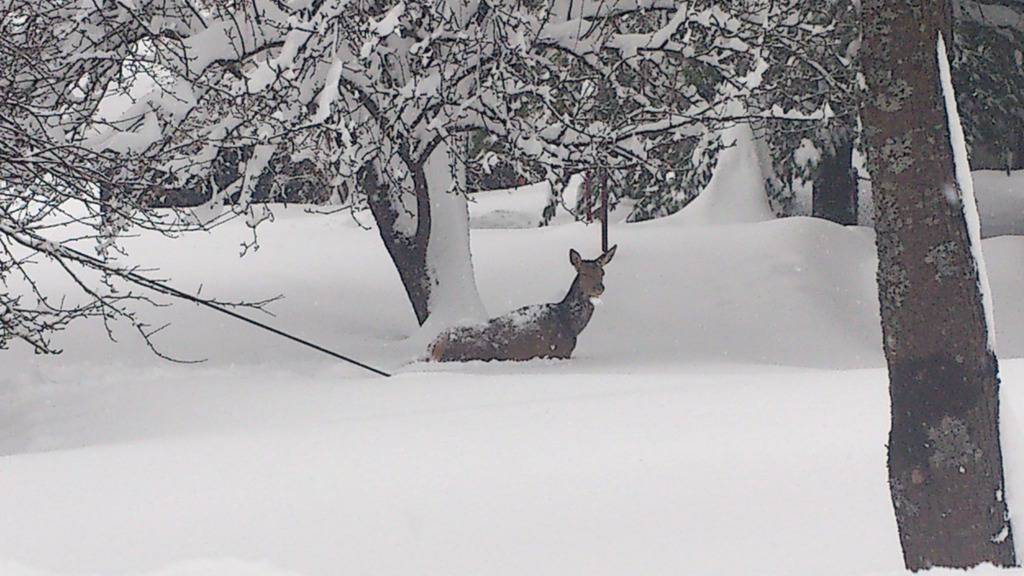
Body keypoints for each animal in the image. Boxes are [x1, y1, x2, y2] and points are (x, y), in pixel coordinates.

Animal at [430, 243, 614, 360]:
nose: (600, 288)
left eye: (602, 272)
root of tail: (433, 346)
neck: (571, 325)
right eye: (583, 273)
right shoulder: (557, 351)